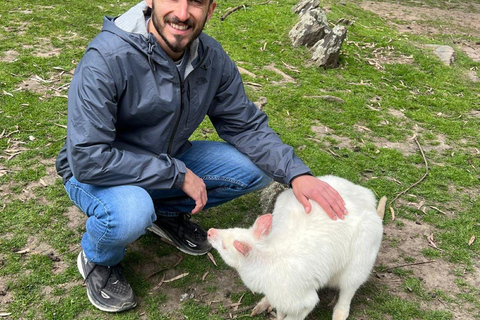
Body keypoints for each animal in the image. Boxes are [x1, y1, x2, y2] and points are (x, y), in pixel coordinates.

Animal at [208, 175, 384, 320]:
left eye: (224, 246)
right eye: (230, 229)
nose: (209, 232)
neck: (265, 259)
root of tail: (368, 199)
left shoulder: (300, 298)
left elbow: (300, 311)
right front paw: (274, 310)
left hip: (363, 250)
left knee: (349, 287)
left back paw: (340, 313)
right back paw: (263, 304)